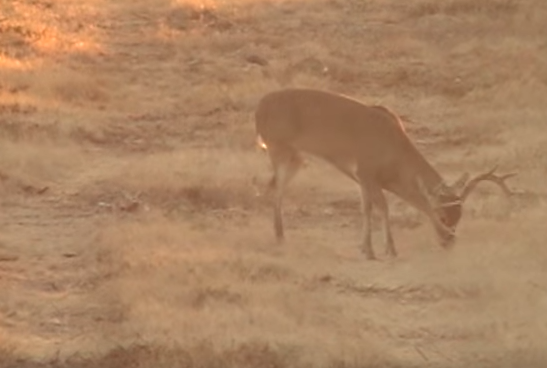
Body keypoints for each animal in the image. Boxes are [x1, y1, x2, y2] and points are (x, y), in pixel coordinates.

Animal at [255, 88, 516, 260]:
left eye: (459, 216)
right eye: (442, 216)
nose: (449, 241)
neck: (394, 154)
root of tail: (259, 109)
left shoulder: (363, 179)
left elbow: (367, 208)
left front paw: (366, 248)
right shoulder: (367, 171)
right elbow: (383, 207)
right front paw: (389, 249)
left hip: (296, 157)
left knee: (272, 188)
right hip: (279, 148)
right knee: (275, 191)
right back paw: (280, 236)